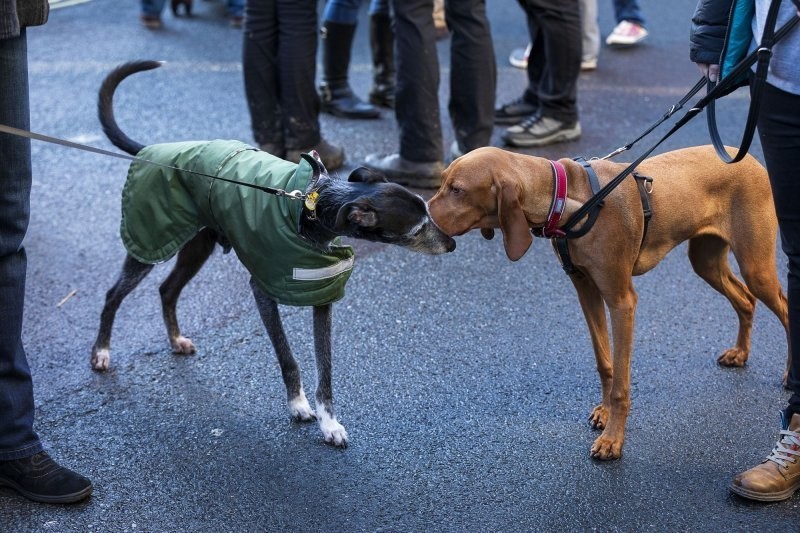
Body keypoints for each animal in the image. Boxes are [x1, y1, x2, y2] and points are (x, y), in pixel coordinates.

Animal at [428, 144, 792, 458]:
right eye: (442, 181)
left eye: (457, 189)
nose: (422, 218)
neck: (566, 199)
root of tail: (747, 157)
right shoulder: (586, 290)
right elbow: (605, 363)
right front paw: (604, 413)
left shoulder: (621, 301)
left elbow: (621, 382)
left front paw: (613, 440)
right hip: (706, 261)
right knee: (745, 300)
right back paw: (740, 353)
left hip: (756, 266)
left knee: (785, 309)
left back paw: (790, 375)